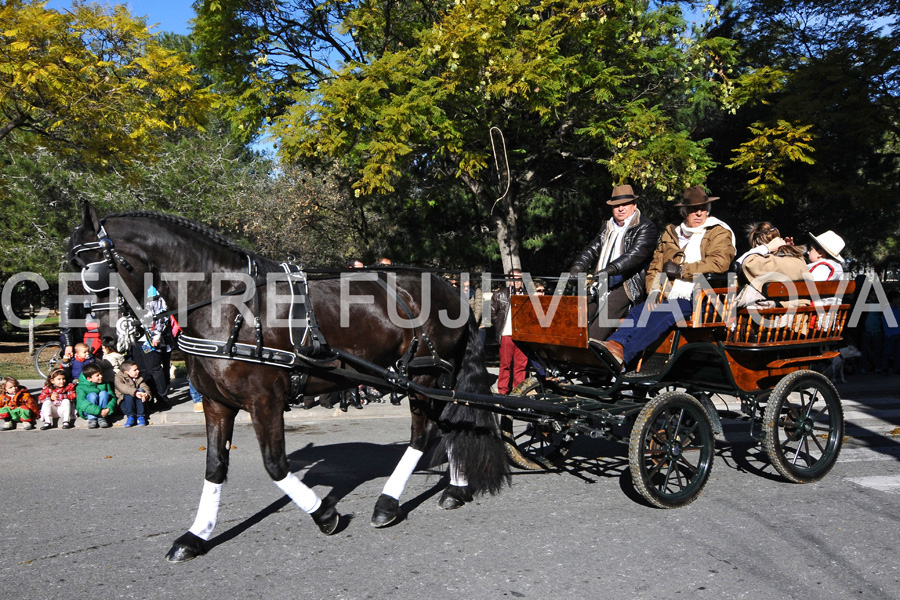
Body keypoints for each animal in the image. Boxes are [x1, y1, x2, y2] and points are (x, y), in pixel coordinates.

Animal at [67, 203, 510, 564]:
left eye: (93, 269)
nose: (104, 336)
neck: (226, 304)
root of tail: (450, 288)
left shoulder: (265, 401)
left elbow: (276, 466)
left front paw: (325, 513)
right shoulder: (215, 402)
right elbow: (215, 467)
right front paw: (196, 536)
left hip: (424, 374)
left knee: (427, 432)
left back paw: (390, 502)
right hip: (432, 377)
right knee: (452, 424)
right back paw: (453, 490)